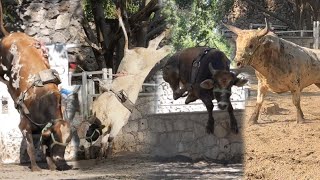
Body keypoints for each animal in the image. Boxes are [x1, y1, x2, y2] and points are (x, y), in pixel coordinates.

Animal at [0, 0, 71, 171]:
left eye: (67, 142)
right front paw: (35, 167)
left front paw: (51, 166)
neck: (42, 101)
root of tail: (11, 35)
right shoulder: (24, 126)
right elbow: (31, 147)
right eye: (55, 137)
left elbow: (44, 150)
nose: (64, 164)